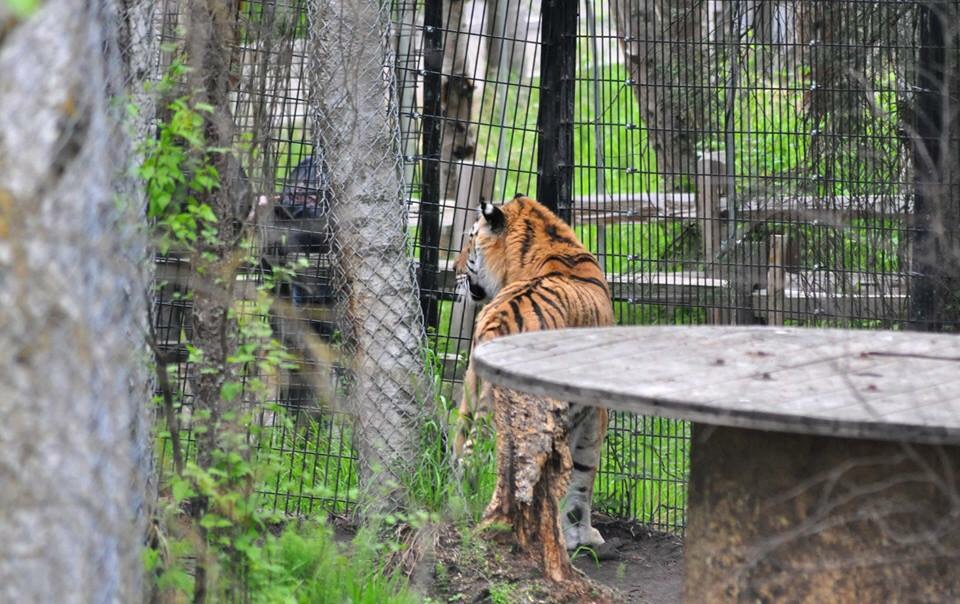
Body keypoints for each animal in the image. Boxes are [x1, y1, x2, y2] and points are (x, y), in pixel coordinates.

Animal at [452, 194, 614, 551]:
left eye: (469, 240)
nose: (453, 270)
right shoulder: (595, 411)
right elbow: (584, 474)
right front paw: (583, 536)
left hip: (470, 397)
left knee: (460, 453)